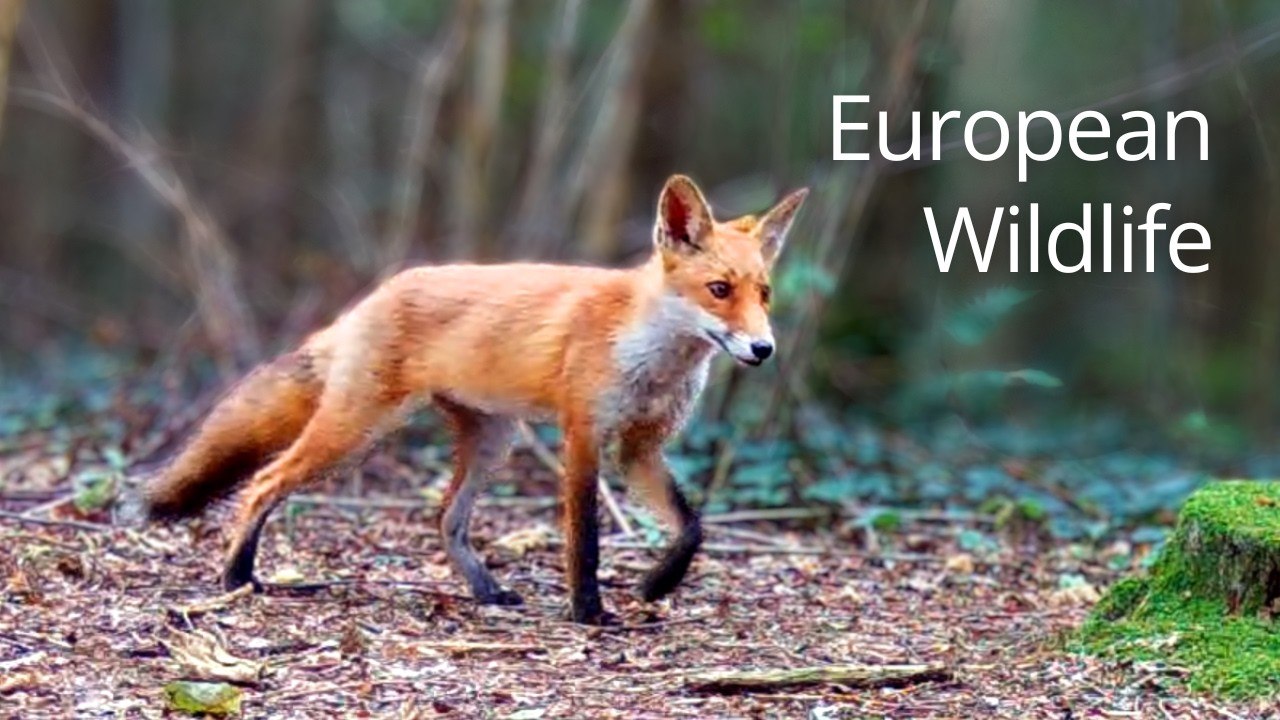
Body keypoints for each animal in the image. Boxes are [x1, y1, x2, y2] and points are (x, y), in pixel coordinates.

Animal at [142, 174, 808, 624]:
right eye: (719, 290)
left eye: (765, 294)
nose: (764, 348)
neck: (653, 355)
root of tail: (376, 295)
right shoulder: (584, 437)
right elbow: (585, 542)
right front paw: (589, 612)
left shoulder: (638, 448)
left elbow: (691, 526)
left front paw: (657, 587)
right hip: (355, 432)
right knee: (263, 482)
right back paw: (236, 576)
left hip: (493, 440)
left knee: (446, 519)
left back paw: (486, 591)